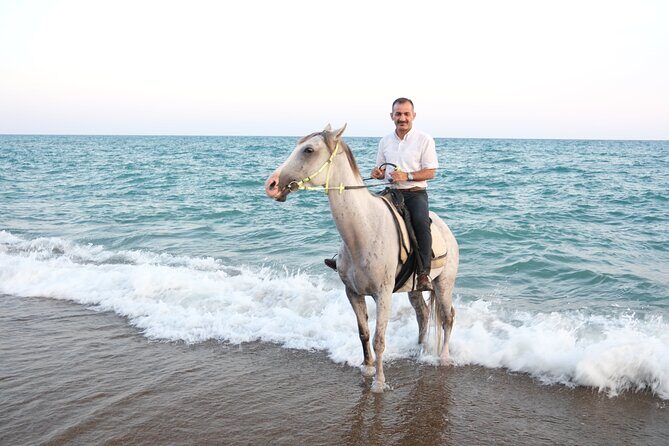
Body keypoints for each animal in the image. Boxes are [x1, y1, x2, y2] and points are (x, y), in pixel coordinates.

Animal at [264, 124, 459, 392]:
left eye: (308, 150)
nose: (271, 184)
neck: (363, 231)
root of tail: (447, 231)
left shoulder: (383, 295)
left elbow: (379, 339)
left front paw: (379, 382)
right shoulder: (353, 293)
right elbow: (363, 333)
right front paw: (367, 369)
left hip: (443, 284)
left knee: (447, 317)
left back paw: (444, 357)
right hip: (415, 289)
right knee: (423, 315)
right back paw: (419, 351)